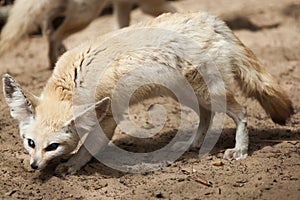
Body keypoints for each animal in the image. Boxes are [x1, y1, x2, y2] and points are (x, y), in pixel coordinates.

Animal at [0, 0, 176, 67]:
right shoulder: (149, 5)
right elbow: (176, 11)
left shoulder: (123, 5)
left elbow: (122, 29)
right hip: (85, 15)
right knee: (54, 34)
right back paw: (54, 60)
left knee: (49, 28)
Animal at [2, 12, 292, 176]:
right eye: (30, 143)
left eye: (52, 146)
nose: (34, 166)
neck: (73, 81)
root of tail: (212, 21)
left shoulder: (109, 118)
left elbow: (89, 148)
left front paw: (72, 165)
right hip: (190, 95)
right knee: (206, 116)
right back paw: (193, 144)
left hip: (210, 94)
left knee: (241, 112)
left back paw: (240, 149)